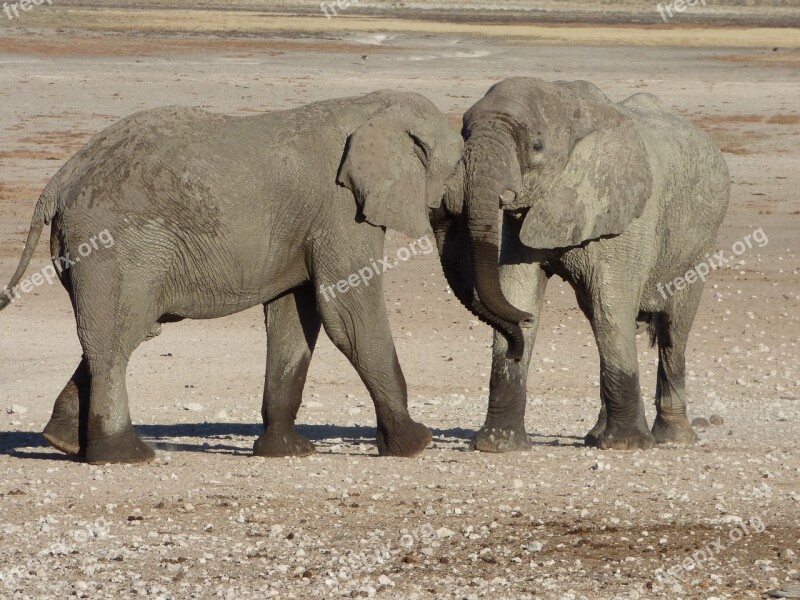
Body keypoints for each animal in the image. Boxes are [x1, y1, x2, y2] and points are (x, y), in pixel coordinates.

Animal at [0, 89, 462, 464]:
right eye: (460, 162)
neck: (371, 107)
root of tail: (58, 181)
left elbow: (294, 318)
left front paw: (286, 452)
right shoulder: (340, 209)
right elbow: (347, 312)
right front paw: (416, 445)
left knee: (123, 331)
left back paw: (62, 441)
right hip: (113, 245)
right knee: (117, 338)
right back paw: (126, 456)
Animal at [432, 78, 732, 450]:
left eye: (537, 146)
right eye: (464, 133)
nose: (445, 200)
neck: (570, 107)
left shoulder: (627, 217)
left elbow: (611, 306)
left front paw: (627, 445)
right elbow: (518, 292)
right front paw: (498, 445)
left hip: (699, 242)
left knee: (672, 330)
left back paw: (672, 438)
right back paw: (595, 436)